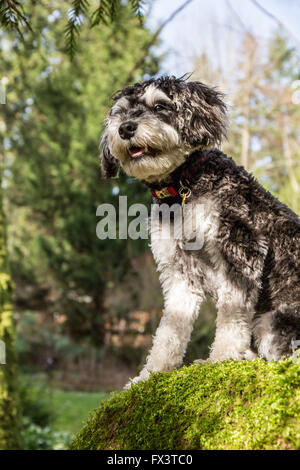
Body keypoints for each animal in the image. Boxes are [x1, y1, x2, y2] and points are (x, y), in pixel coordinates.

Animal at [100, 76, 300, 386]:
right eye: (120, 113)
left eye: (159, 106)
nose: (125, 128)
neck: (184, 185)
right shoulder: (179, 272)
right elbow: (170, 329)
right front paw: (150, 375)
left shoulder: (241, 249)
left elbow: (231, 318)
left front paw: (221, 360)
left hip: (272, 322)